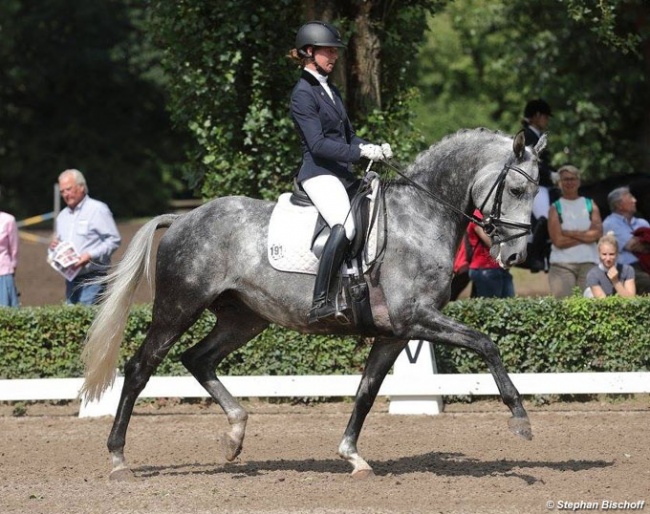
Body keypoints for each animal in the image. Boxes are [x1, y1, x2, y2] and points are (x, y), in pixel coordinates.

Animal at [83, 127, 544, 476]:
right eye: (517, 188)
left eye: (536, 189)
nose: (516, 256)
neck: (421, 217)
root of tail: (183, 218)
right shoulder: (415, 317)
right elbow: (486, 343)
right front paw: (520, 419)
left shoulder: (396, 333)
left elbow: (366, 392)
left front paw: (353, 457)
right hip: (178, 308)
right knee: (139, 369)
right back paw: (118, 458)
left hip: (243, 318)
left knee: (199, 359)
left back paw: (235, 435)